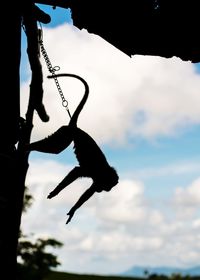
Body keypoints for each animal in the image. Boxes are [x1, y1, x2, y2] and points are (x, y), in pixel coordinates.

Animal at [27, 73, 119, 224]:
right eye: (109, 186)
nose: (105, 190)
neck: (104, 171)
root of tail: (75, 128)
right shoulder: (93, 171)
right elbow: (76, 171)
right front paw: (56, 192)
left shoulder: (96, 178)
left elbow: (89, 191)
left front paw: (72, 211)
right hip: (66, 133)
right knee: (56, 147)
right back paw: (27, 146)